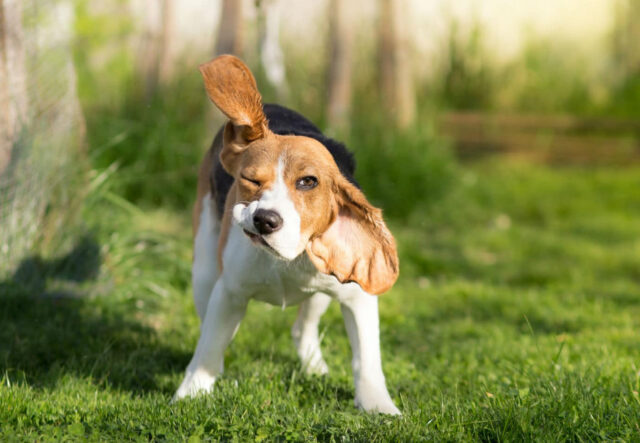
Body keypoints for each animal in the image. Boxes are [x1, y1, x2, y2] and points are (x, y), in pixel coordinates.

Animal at [175, 55, 400, 416]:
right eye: (250, 180)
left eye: (308, 182)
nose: (265, 220)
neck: (286, 256)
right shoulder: (229, 292)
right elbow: (208, 347)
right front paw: (191, 394)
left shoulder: (357, 297)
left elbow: (367, 359)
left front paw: (379, 407)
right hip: (204, 272)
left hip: (323, 290)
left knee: (301, 329)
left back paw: (314, 367)